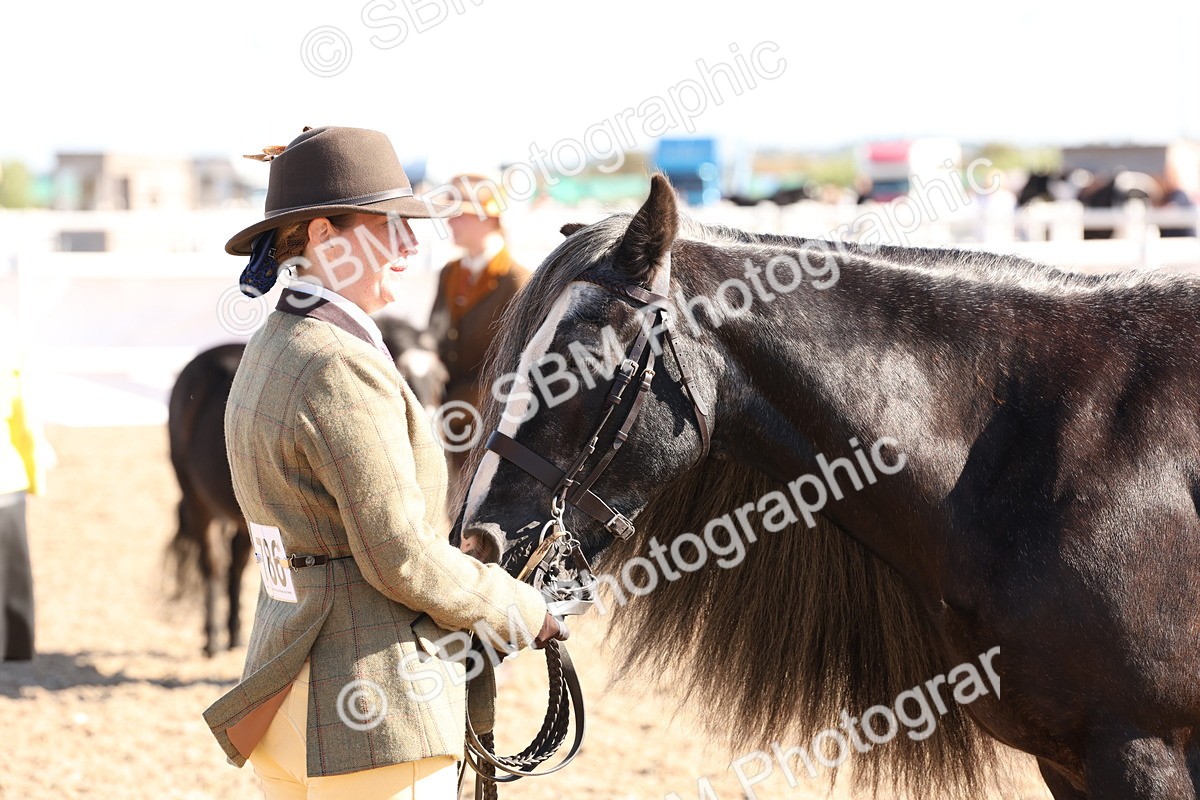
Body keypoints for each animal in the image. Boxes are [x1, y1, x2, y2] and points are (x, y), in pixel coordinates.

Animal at [167, 319, 446, 657]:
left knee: (235, 564)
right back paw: (211, 640)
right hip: (196, 501)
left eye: (440, 377)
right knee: (212, 564)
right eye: (401, 373)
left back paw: (234, 636)